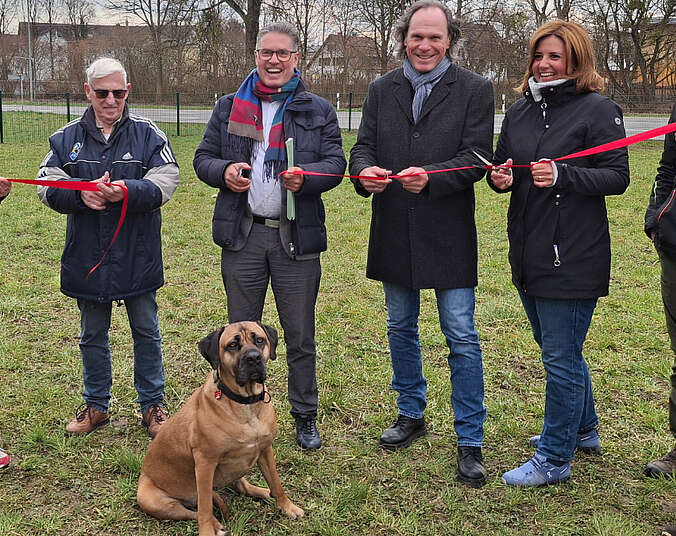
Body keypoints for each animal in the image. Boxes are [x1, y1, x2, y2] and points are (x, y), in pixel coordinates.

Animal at [137, 320, 304, 532]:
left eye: (259, 340)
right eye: (232, 345)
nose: (253, 358)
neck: (245, 403)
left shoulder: (266, 449)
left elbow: (276, 481)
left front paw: (287, 506)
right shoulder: (205, 462)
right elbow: (205, 506)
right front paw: (207, 531)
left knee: (241, 486)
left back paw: (264, 492)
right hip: (154, 501)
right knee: (196, 510)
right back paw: (216, 526)